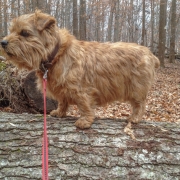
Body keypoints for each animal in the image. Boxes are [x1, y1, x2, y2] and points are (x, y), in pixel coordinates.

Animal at [0, 10, 160, 129]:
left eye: (24, 33)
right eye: (12, 30)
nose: (3, 42)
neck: (56, 55)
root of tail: (151, 55)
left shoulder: (81, 90)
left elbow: (84, 105)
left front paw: (85, 121)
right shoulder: (62, 90)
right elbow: (63, 101)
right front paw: (60, 112)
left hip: (137, 89)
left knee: (140, 105)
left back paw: (134, 118)